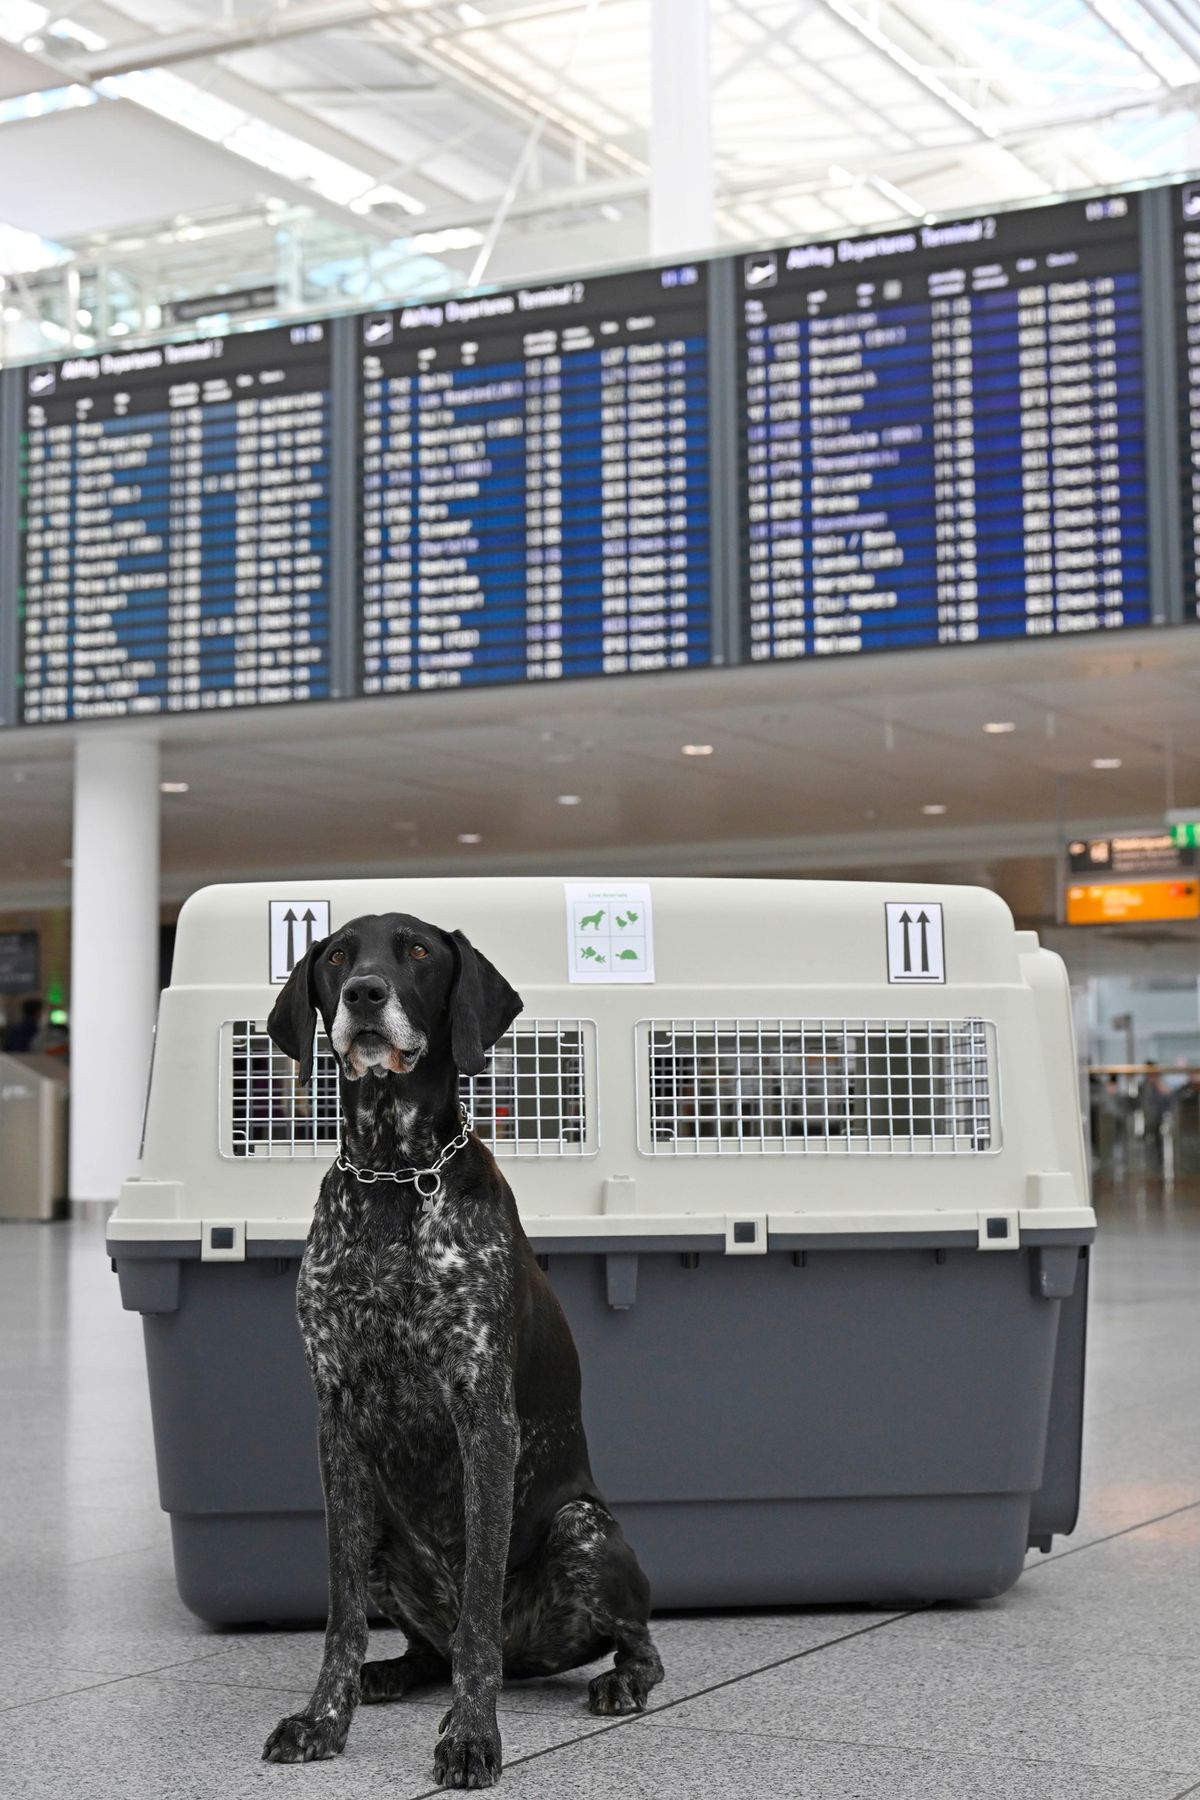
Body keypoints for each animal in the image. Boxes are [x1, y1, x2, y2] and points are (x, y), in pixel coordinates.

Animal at [259, 914, 665, 1785]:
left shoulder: (484, 1415)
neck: (391, 1175)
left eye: (415, 951)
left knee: (630, 1642)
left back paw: (619, 1683)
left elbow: (478, 1604)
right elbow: (341, 1614)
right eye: (336, 954)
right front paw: (324, 1718)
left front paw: (473, 1734)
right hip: (382, 1530)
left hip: (583, 1530)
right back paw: (391, 1674)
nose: (363, 994)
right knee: (424, 1646)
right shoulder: (335, 1420)